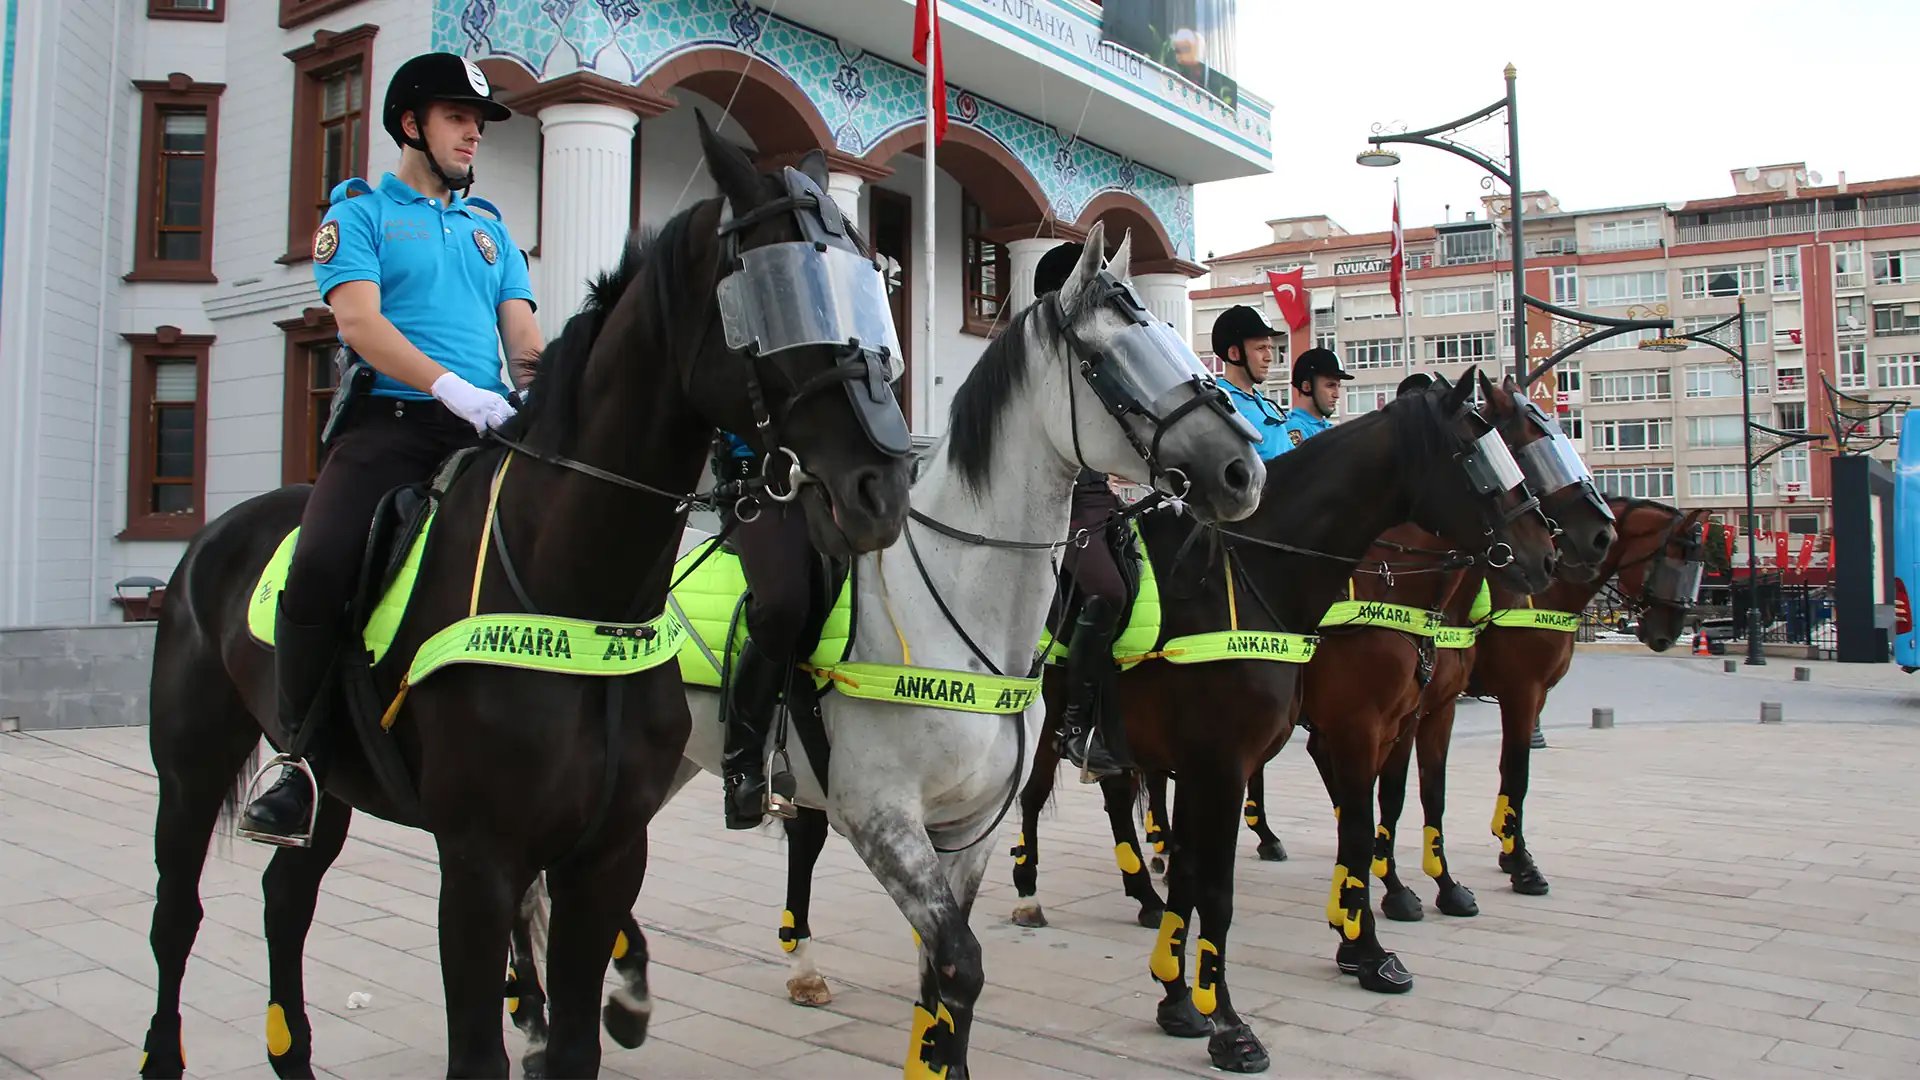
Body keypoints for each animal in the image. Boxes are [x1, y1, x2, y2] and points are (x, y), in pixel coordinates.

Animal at [137, 117, 913, 1076]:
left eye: (868, 292)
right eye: (778, 297)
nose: (884, 484)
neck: (580, 597)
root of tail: (214, 536)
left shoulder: (609, 854)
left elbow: (578, 1037)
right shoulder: (479, 863)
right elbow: (478, 1048)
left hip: (335, 787)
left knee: (288, 894)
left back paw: (294, 1051)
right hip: (191, 763)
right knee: (177, 915)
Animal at [518, 222, 1267, 1068]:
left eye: (1175, 337)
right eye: (1108, 360)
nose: (1241, 471)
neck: (959, 604)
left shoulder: (969, 828)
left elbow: (941, 977)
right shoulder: (880, 819)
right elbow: (959, 962)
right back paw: (541, 1016)